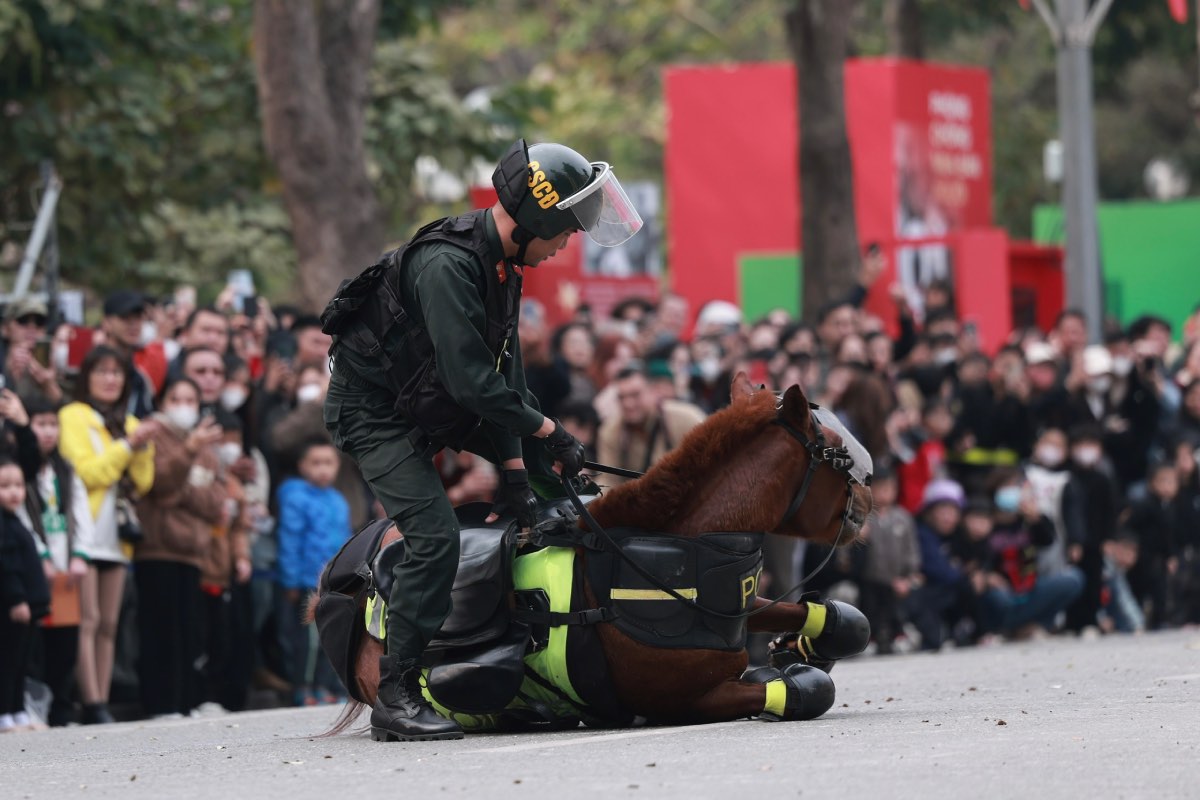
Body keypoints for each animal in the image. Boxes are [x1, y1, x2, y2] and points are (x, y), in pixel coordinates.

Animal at [309, 374, 873, 734]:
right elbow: (804, 691)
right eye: (836, 450)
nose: (870, 493)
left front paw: (807, 641)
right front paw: (793, 669)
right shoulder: (683, 700)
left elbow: (839, 618)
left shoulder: (731, 609)